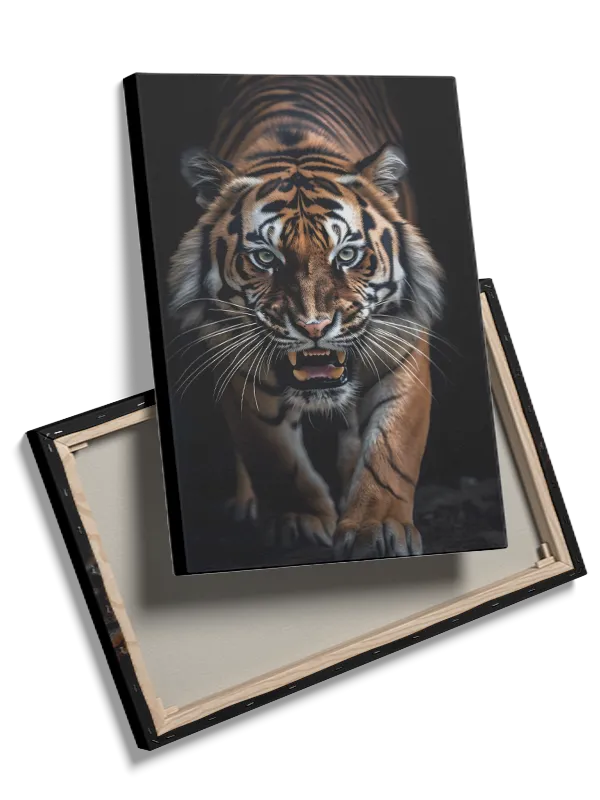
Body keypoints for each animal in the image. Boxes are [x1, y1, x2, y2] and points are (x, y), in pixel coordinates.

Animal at [170, 75, 443, 560]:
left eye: (347, 255)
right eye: (265, 258)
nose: (314, 326)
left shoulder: (403, 341)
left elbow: (390, 448)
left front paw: (377, 529)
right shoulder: (238, 362)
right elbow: (273, 452)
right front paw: (298, 522)